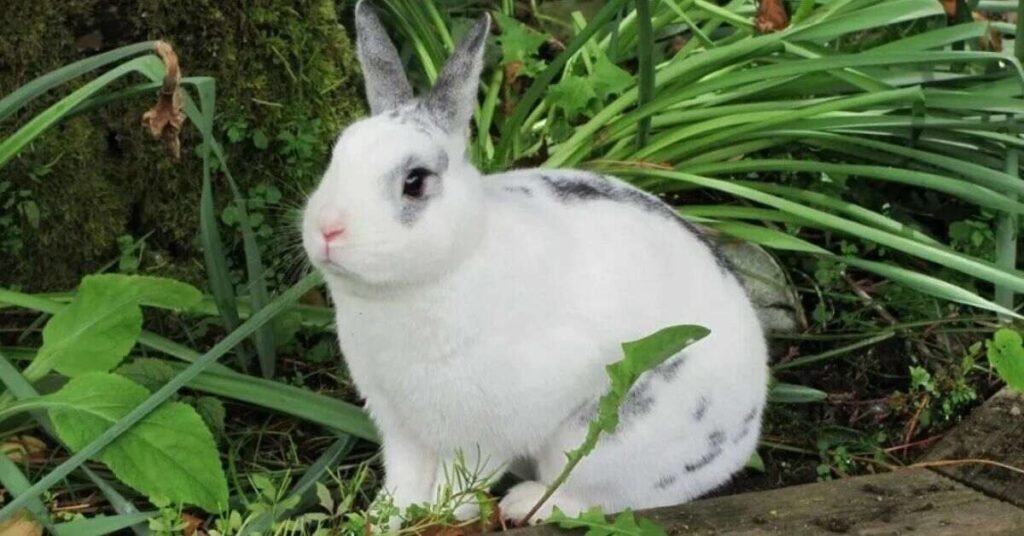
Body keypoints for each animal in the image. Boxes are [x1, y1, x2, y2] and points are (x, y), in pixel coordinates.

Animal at [301, 0, 769, 524]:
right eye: (336, 155)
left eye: (415, 181)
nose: (327, 230)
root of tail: (744, 434)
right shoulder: (398, 422)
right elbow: (403, 476)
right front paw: (385, 515)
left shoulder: (490, 431)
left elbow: (461, 484)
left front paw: (441, 515)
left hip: (603, 439)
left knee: (605, 495)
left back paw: (527, 502)